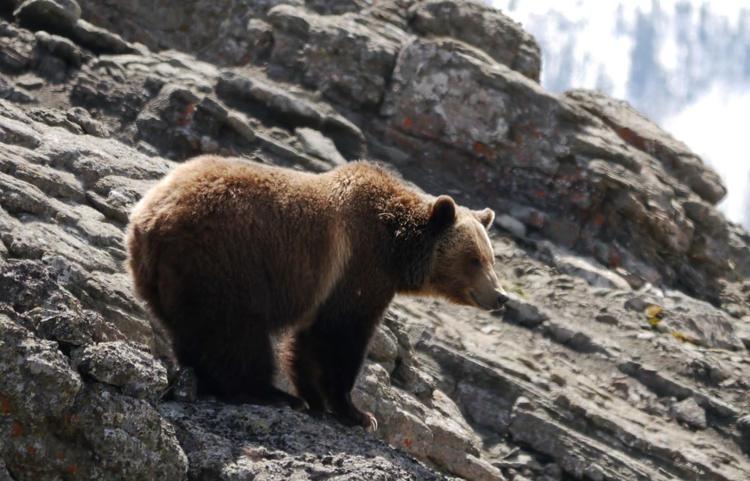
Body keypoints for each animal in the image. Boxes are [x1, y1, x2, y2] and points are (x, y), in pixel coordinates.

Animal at [126, 155, 507, 429]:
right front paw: (357, 413)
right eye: (474, 259)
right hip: (224, 263)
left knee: (193, 331)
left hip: (167, 279)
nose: (501, 297)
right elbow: (340, 337)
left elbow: (309, 342)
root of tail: (150, 218)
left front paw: (318, 401)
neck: (396, 248)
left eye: (490, 257)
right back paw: (268, 393)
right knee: (234, 333)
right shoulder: (357, 266)